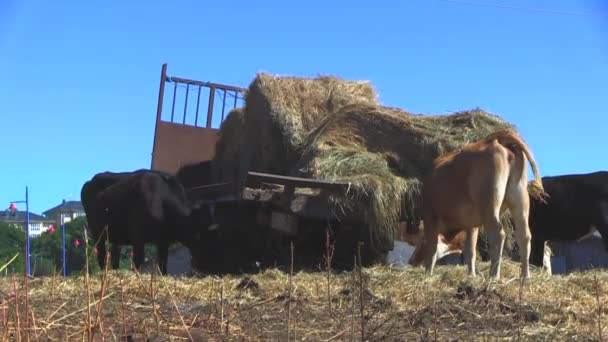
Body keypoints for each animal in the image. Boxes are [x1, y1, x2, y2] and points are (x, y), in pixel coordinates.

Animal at [81, 169, 210, 276]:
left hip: (116, 235)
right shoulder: (138, 236)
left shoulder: (164, 241)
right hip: (97, 233)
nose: (205, 268)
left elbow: (163, 262)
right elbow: (138, 259)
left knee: (114, 257)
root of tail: (90, 180)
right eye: (198, 235)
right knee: (102, 256)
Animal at [418, 130, 548, 280]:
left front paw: (428, 274)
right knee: (524, 235)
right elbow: (470, 250)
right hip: (519, 198)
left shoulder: (430, 216)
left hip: (489, 204)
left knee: (498, 234)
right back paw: (525, 276)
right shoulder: (471, 224)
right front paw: (471, 275)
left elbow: (432, 248)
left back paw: (494, 275)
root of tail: (496, 140)